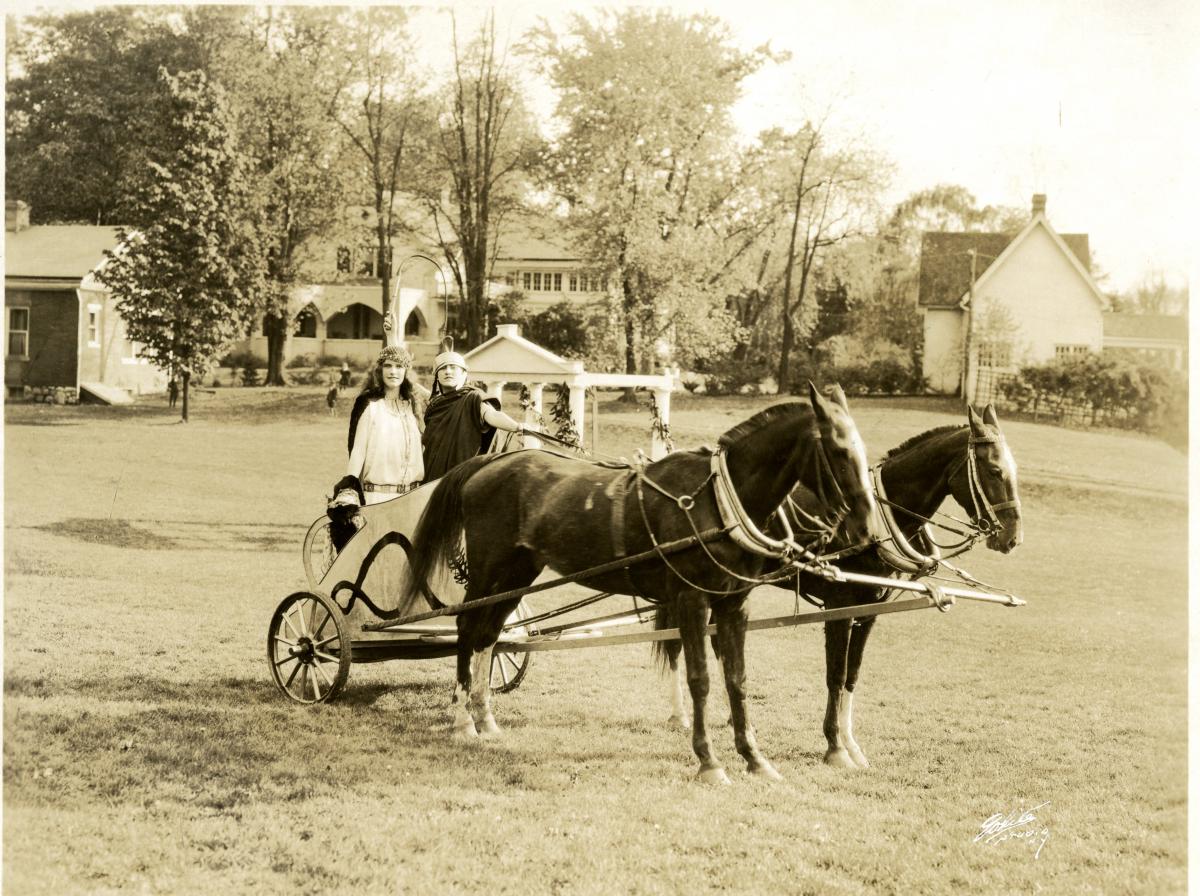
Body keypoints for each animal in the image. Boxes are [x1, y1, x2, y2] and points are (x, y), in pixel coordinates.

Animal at [403, 386, 883, 786]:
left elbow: (737, 679)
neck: (717, 502)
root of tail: (491, 462)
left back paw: (484, 717)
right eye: (839, 451)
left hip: (519, 573)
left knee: (488, 634)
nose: (865, 530)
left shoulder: (733, 604)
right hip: (489, 569)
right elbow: (700, 679)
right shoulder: (692, 600)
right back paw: (463, 719)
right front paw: (709, 761)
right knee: (467, 629)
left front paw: (753, 757)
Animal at [657, 403, 1022, 767]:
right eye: (993, 471)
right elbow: (835, 674)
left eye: (1012, 469)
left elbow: (851, 675)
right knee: (675, 643)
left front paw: (851, 744)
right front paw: (835, 746)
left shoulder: (869, 611)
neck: (879, 523)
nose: (1012, 538)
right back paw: (679, 714)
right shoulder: (839, 608)